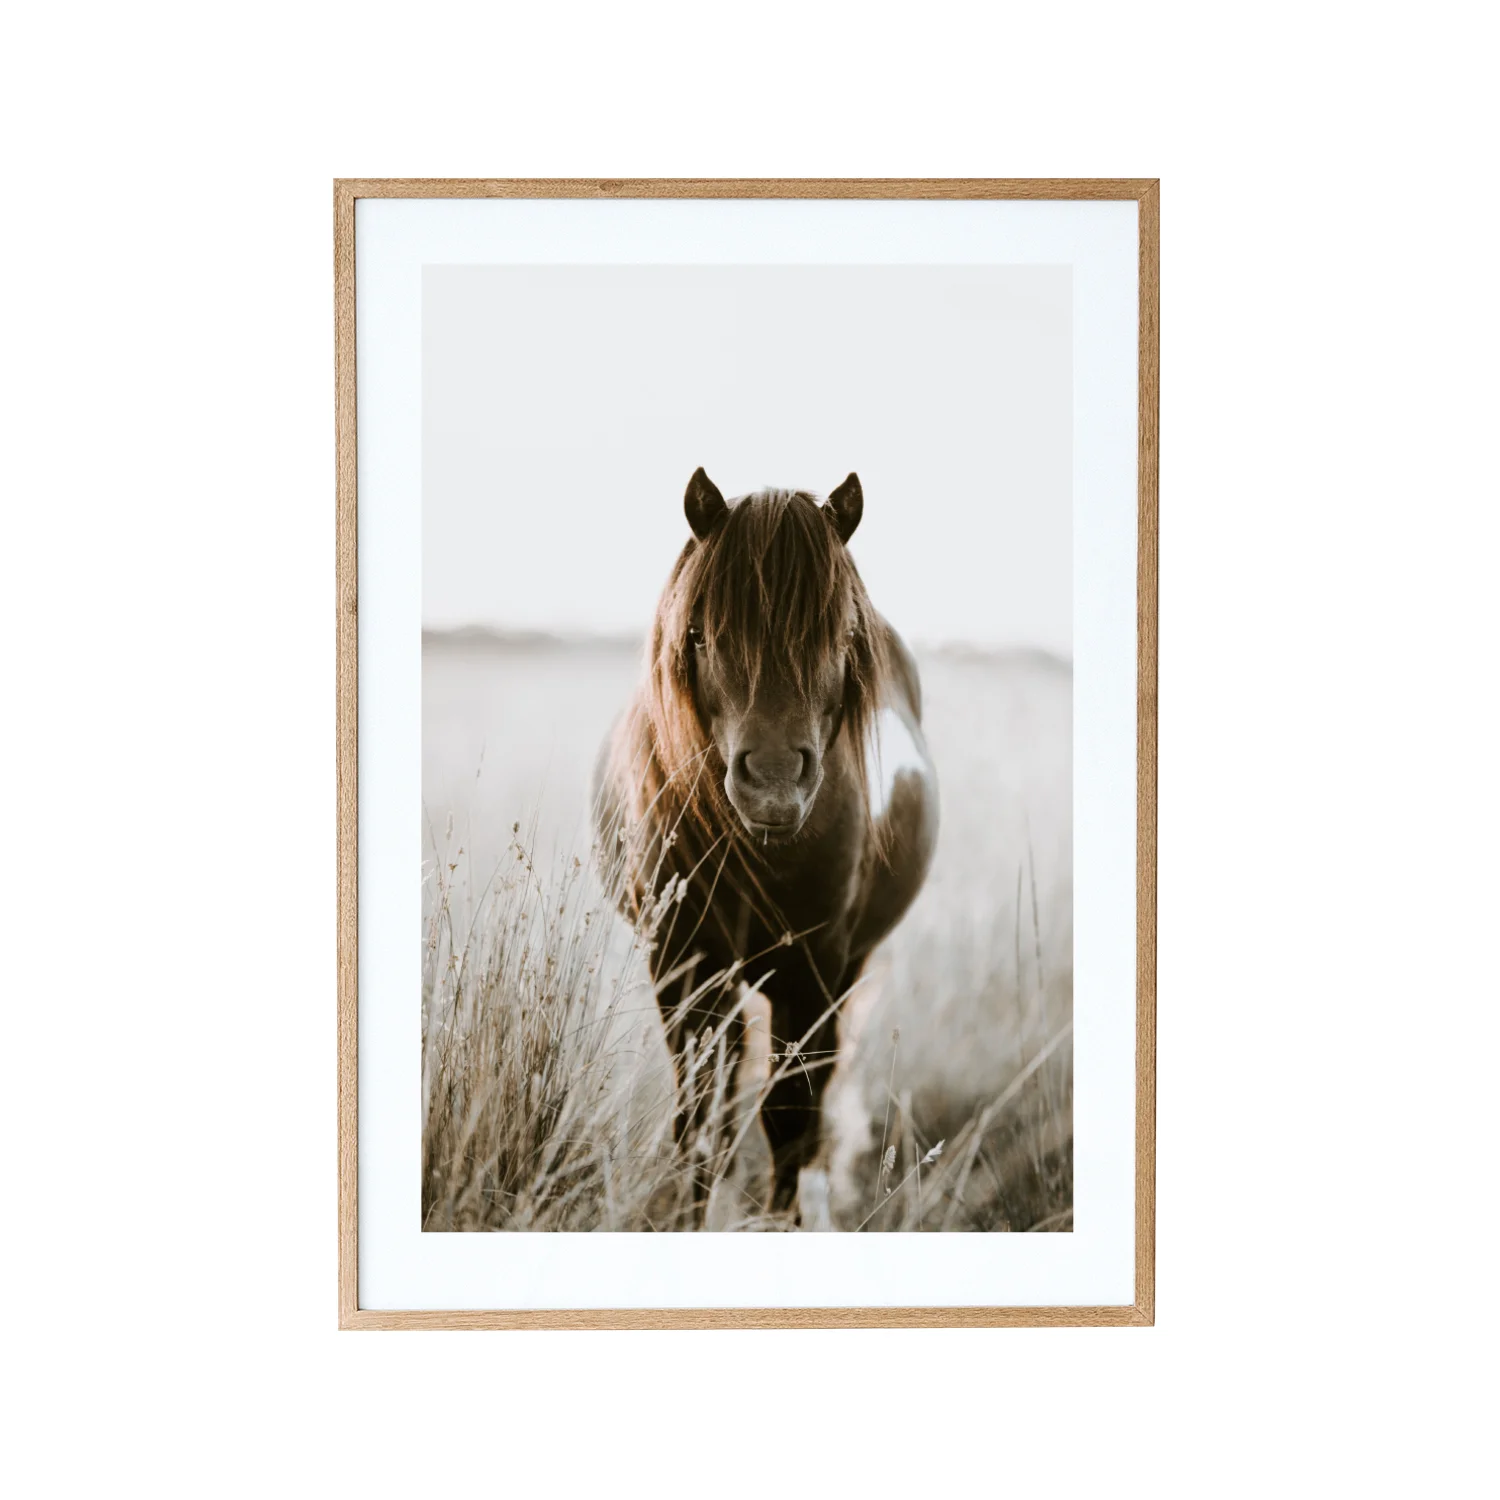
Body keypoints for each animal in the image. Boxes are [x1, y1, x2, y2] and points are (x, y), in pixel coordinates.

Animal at [595, 468, 939, 1224]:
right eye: (699, 634)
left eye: (842, 634)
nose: (776, 783)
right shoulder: (685, 963)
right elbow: (699, 1119)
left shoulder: (812, 969)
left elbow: (787, 1115)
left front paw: (782, 1220)